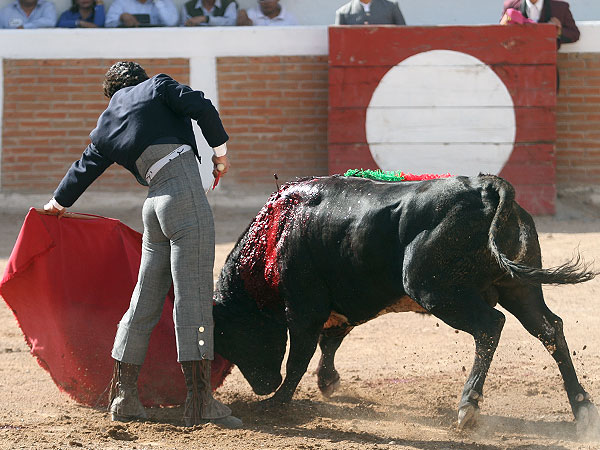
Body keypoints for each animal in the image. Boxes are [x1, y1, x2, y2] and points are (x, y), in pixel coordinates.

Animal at [213, 174, 596, 434]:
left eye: (232, 333)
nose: (263, 385)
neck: (273, 237)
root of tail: (486, 187)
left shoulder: (304, 308)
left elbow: (300, 356)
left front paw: (277, 402)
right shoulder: (343, 304)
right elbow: (330, 341)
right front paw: (327, 382)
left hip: (433, 289)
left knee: (490, 326)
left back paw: (467, 406)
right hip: (519, 288)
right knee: (550, 329)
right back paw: (582, 409)